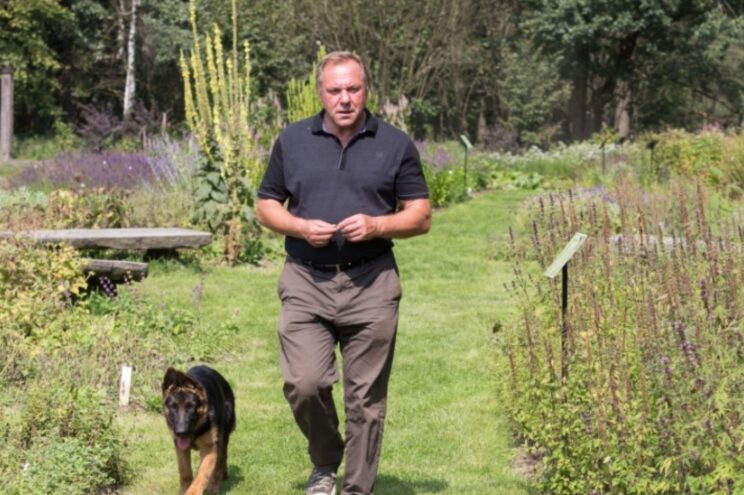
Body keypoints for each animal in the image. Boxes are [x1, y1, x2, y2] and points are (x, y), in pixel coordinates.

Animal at [162, 365, 236, 495]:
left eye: (191, 407)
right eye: (173, 407)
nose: (181, 432)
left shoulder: (209, 448)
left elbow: (202, 474)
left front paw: (193, 491)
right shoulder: (180, 448)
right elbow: (185, 472)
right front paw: (183, 490)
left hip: (222, 438)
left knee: (220, 461)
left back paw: (214, 487)